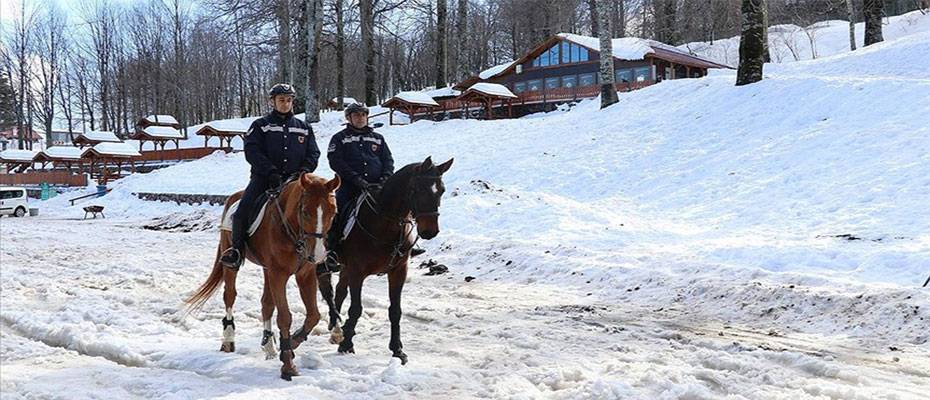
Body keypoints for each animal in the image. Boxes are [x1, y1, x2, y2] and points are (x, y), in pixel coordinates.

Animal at [183, 172, 338, 378]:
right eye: (305, 211)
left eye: (333, 212)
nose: (319, 255)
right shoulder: (278, 274)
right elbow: (285, 317)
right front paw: (287, 364)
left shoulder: (305, 274)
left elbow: (313, 315)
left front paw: (293, 342)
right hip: (232, 260)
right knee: (230, 296)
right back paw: (228, 340)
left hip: (267, 269)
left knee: (266, 304)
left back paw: (269, 345)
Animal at [318, 156, 452, 366]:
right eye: (418, 189)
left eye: (442, 190)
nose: (430, 231)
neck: (384, 222)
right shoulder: (357, 272)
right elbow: (356, 308)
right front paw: (347, 344)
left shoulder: (398, 271)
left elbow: (395, 310)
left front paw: (397, 350)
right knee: (328, 289)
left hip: (346, 268)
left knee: (339, 291)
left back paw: (337, 325)